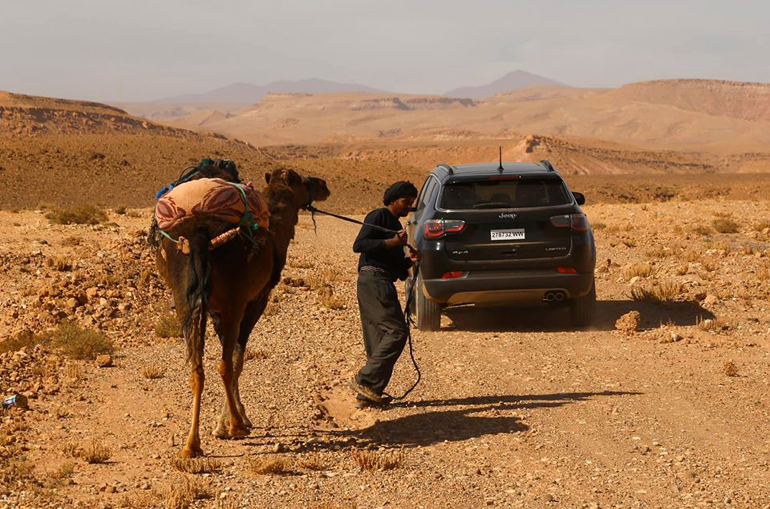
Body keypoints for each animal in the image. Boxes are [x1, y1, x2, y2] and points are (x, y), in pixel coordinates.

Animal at [152, 167, 328, 456]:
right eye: (304, 181)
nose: (323, 185)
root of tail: (201, 233)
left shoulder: (215, 310)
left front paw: (223, 422)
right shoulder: (253, 301)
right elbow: (237, 359)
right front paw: (233, 421)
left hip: (186, 300)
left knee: (196, 368)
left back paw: (191, 444)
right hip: (234, 301)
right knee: (223, 365)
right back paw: (235, 427)